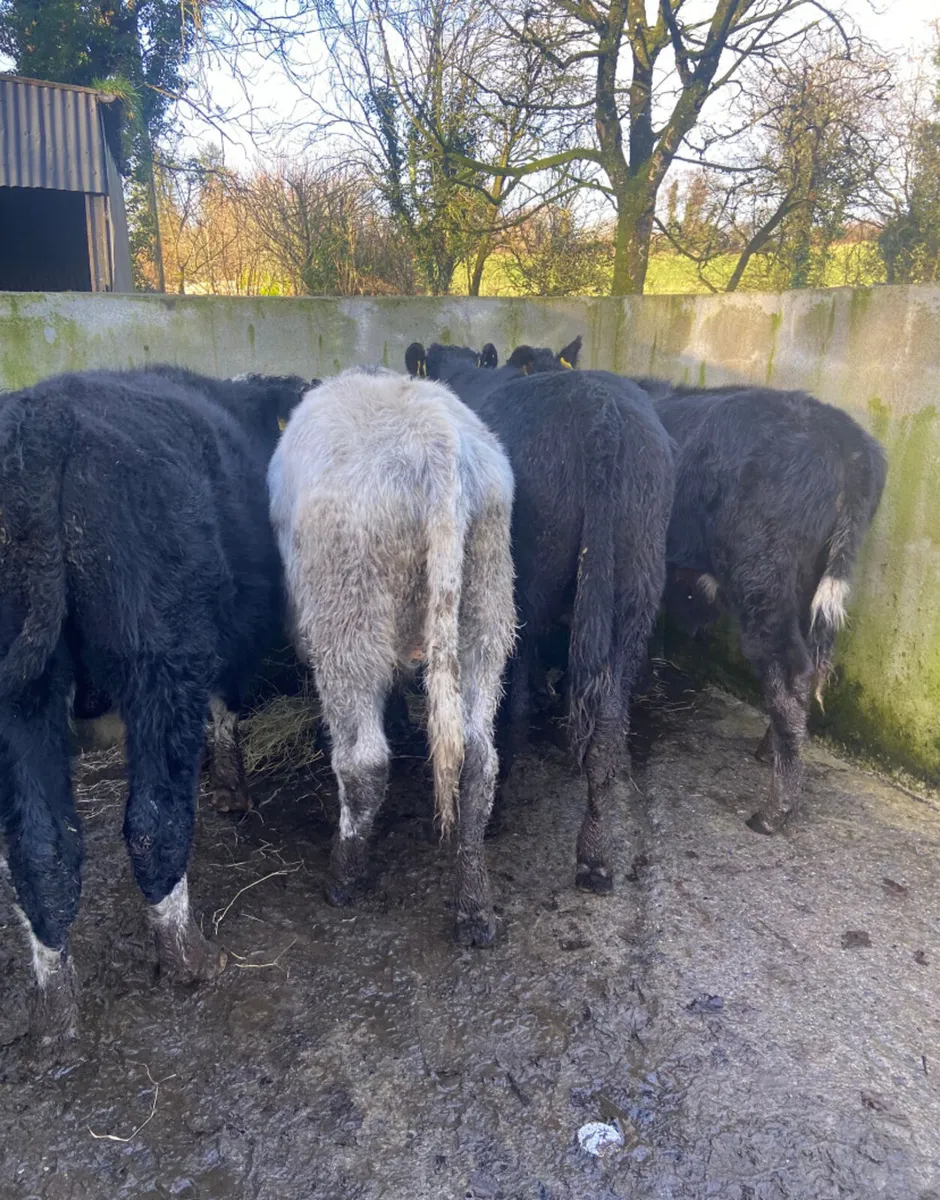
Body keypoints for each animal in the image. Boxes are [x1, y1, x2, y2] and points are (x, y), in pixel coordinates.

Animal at [0, 364, 309, 1045]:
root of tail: (42, 425)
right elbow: (223, 711)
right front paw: (230, 787)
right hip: (159, 658)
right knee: (152, 824)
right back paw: (191, 960)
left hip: (23, 702)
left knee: (40, 850)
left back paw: (55, 1008)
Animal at [267, 367, 516, 947]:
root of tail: (436, 440)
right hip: (484, 606)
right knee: (479, 762)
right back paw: (474, 906)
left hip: (349, 617)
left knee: (363, 763)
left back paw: (344, 877)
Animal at [405, 342, 675, 895]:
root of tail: (603, 420)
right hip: (636, 589)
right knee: (608, 722)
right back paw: (594, 853)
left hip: (526, 587)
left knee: (517, 701)